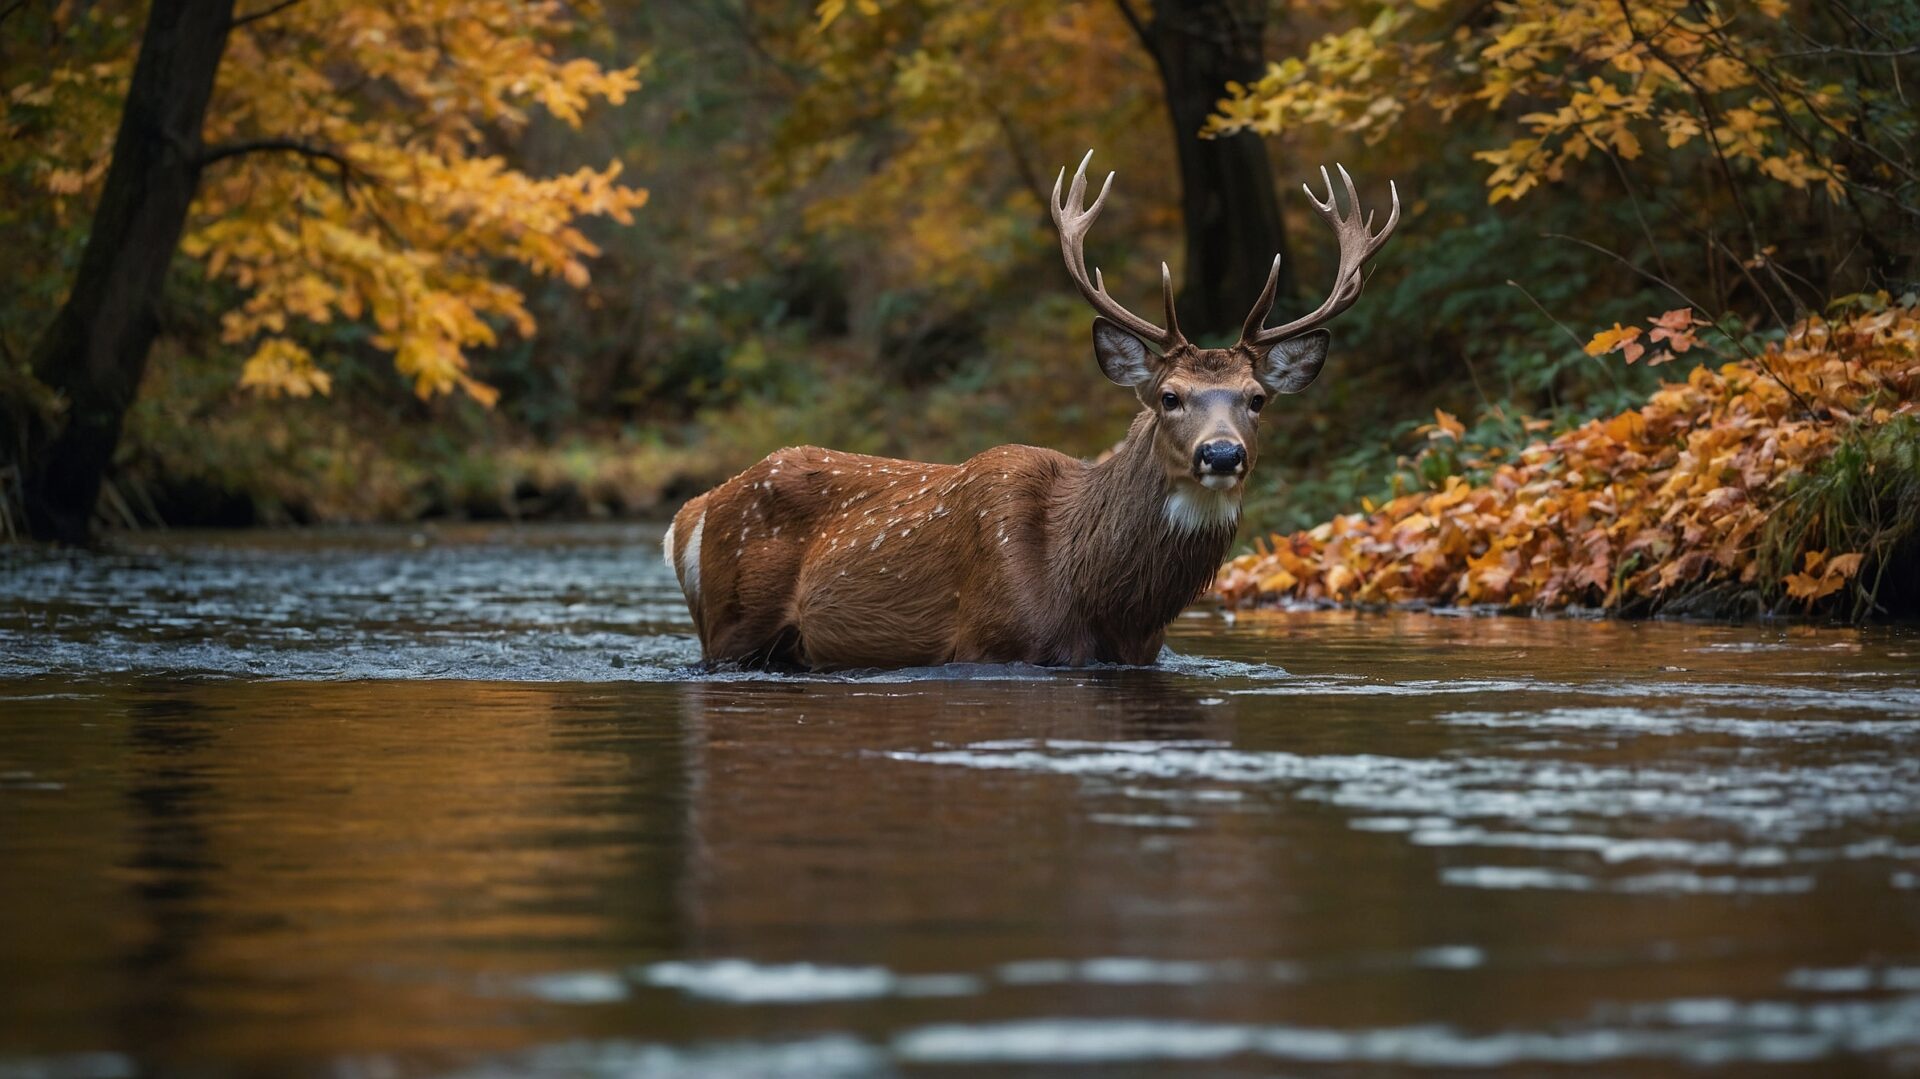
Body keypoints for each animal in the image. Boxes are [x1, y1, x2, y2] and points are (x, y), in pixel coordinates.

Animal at [664, 151, 1398, 669]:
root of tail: (691, 512)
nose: (1221, 453)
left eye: (1256, 399)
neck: (1097, 593)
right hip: (730, 624)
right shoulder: (990, 641)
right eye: (1169, 397)